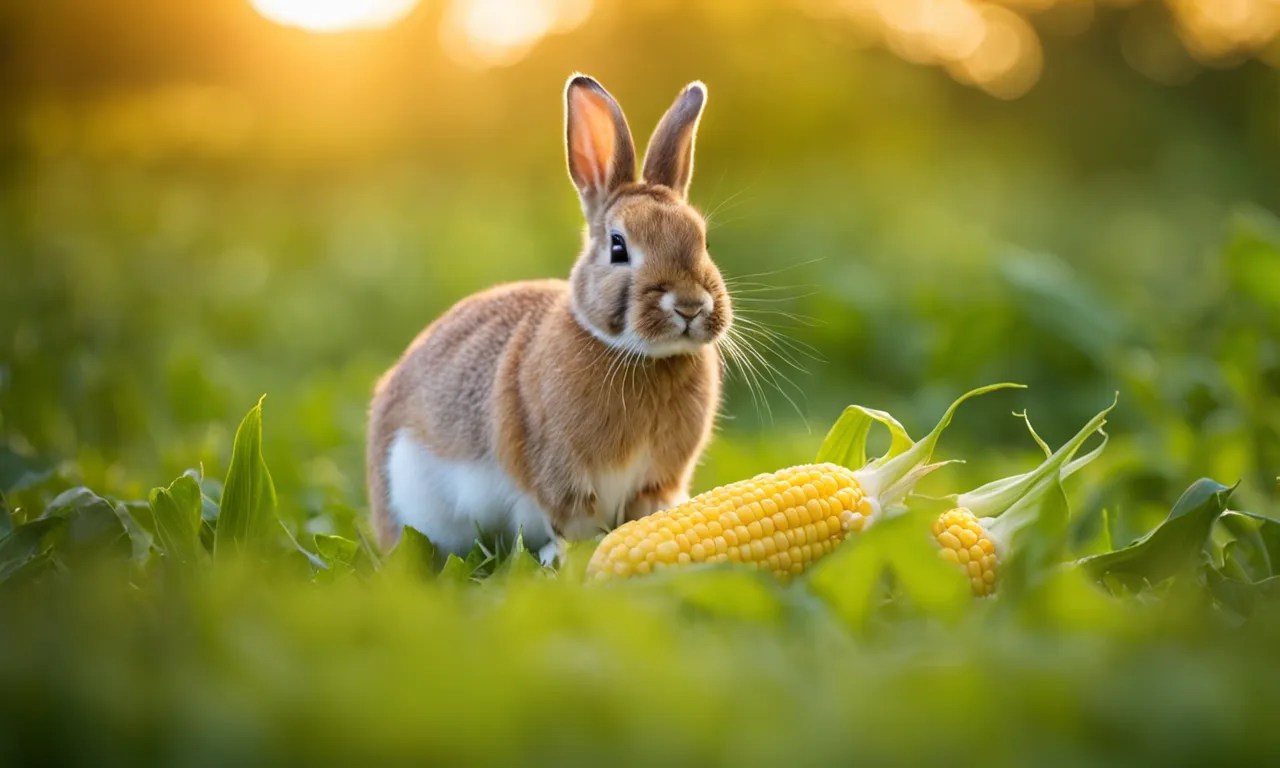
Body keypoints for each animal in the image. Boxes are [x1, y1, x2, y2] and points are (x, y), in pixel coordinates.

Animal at [366, 74, 732, 566]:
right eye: (618, 246)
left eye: (703, 241)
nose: (691, 306)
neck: (637, 354)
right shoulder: (562, 478)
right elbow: (574, 527)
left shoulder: (657, 482)